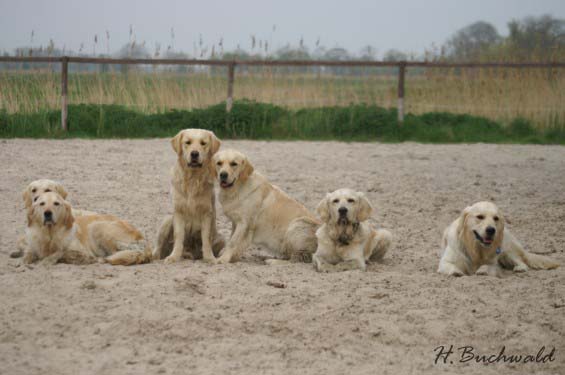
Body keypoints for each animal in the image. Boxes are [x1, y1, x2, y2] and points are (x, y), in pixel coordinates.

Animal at [23, 192, 151, 266]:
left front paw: (47, 261)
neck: (50, 235)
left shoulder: (81, 251)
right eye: (42, 204)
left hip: (97, 227)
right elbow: (28, 253)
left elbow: (61, 252)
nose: (47, 213)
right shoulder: (34, 246)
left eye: (56, 203)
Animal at [155, 129, 226, 264]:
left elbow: (206, 239)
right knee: (158, 249)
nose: (194, 154)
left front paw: (209, 258)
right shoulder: (178, 212)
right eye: (187, 142)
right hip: (167, 221)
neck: (193, 179)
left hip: (221, 238)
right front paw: (174, 257)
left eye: (203, 143)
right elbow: (179, 236)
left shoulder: (207, 213)